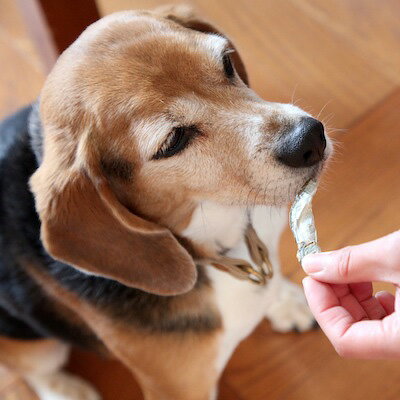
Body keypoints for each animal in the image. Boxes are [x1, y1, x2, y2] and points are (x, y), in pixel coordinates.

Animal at [0, 6, 332, 400]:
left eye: (226, 62)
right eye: (173, 141)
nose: (309, 138)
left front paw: (284, 299)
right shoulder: (179, 388)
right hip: (35, 346)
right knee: (34, 371)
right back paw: (67, 389)